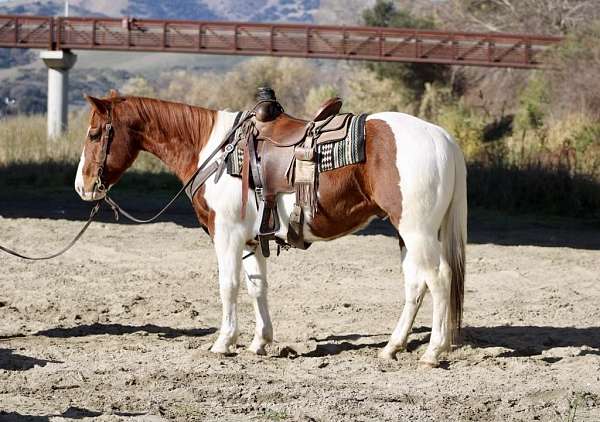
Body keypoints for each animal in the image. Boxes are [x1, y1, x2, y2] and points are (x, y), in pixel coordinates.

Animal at [75, 95, 466, 366]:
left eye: (94, 133)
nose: (83, 187)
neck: (214, 151)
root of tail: (443, 138)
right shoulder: (250, 239)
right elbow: (256, 286)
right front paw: (259, 342)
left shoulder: (227, 235)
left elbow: (229, 286)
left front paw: (223, 342)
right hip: (408, 234)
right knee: (416, 284)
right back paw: (392, 347)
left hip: (417, 231)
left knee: (439, 279)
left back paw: (433, 352)